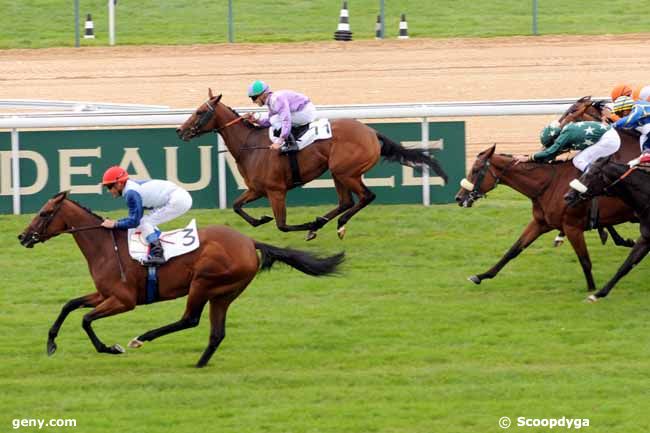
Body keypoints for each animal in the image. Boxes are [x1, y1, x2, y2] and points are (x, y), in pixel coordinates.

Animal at [17, 192, 344, 368]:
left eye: (44, 213)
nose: (22, 237)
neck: (106, 246)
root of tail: (249, 241)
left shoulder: (123, 301)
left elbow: (85, 319)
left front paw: (111, 348)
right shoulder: (104, 294)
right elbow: (69, 305)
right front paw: (51, 344)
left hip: (203, 282)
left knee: (190, 319)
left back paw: (142, 338)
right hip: (224, 293)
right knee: (216, 332)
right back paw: (199, 363)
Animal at [176, 89, 446, 241]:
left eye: (199, 112)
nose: (180, 131)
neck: (250, 145)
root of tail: (371, 132)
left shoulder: (276, 191)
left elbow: (282, 225)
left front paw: (306, 224)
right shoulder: (257, 189)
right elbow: (236, 206)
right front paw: (261, 220)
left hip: (345, 172)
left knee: (366, 197)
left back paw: (333, 224)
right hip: (338, 173)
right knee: (346, 201)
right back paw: (324, 223)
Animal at [456, 137, 636, 292]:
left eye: (476, 170)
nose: (459, 197)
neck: (550, 185)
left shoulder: (572, 227)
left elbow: (585, 260)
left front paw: (592, 289)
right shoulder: (540, 223)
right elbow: (514, 250)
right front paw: (481, 276)